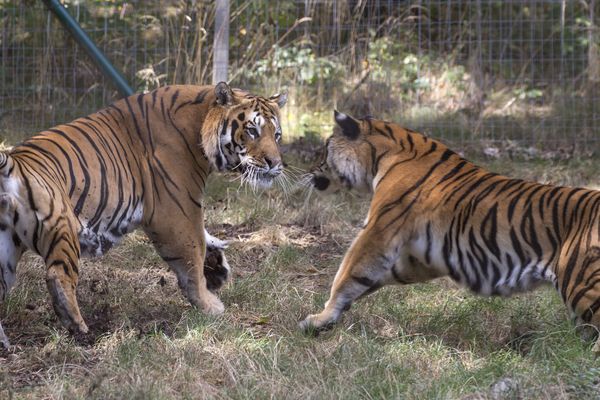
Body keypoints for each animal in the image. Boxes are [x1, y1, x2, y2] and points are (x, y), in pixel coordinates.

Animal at [0, 82, 288, 346]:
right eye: (252, 130)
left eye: (277, 135)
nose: (276, 164)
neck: (200, 120)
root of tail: (14, 163)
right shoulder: (177, 209)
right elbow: (193, 254)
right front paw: (209, 305)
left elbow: (206, 240)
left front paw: (217, 269)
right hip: (63, 226)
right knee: (58, 275)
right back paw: (78, 327)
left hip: (6, 251)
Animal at [300, 110, 600, 346]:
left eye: (324, 147)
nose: (309, 169)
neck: (381, 158)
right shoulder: (419, 257)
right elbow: (370, 278)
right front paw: (325, 321)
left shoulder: (379, 230)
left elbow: (347, 274)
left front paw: (321, 316)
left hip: (582, 284)